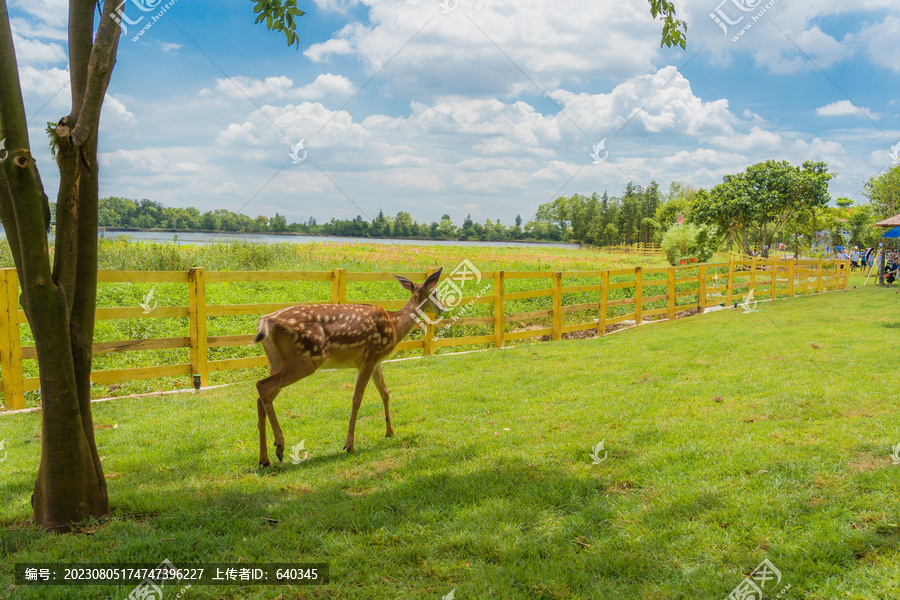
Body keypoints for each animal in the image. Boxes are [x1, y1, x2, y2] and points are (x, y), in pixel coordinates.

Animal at [253, 270, 442, 466]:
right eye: (435, 293)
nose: (442, 309)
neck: (395, 326)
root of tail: (264, 321)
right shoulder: (370, 357)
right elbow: (357, 398)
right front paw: (349, 445)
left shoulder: (376, 361)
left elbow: (385, 392)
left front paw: (390, 432)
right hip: (304, 360)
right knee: (262, 385)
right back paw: (279, 445)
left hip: (276, 361)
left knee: (261, 397)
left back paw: (264, 458)